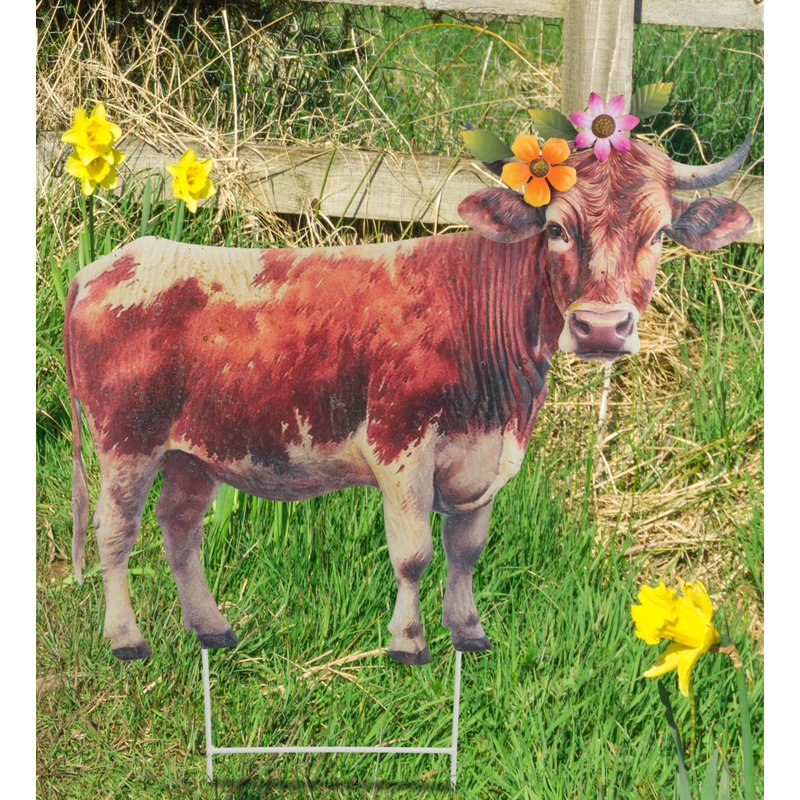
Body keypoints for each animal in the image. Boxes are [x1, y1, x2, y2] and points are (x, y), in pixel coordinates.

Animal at [64, 135, 752, 664]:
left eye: (659, 234)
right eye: (556, 228)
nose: (603, 328)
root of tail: (117, 259)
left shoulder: (484, 459)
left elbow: (467, 549)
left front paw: (469, 633)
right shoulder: (401, 445)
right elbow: (415, 552)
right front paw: (408, 643)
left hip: (196, 450)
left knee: (179, 528)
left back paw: (211, 629)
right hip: (126, 441)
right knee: (115, 532)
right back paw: (126, 639)